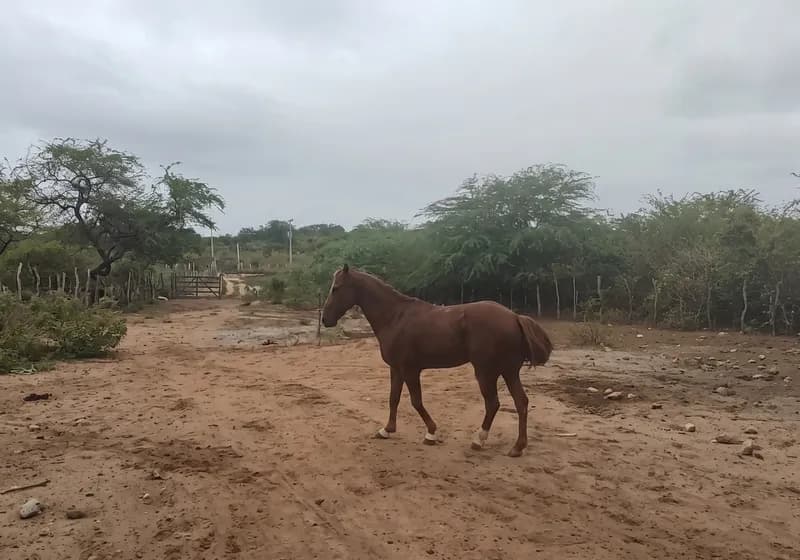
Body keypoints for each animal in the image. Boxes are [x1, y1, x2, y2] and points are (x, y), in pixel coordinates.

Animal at [321, 264, 553, 457]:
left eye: (336, 288)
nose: (325, 319)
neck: (395, 317)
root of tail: (514, 317)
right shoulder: (396, 369)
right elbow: (393, 398)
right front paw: (386, 430)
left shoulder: (410, 369)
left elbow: (416, 401)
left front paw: (431, 434)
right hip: (508, 371)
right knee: (521, 402)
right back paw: (517, 447)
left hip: (486, 371)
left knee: (493, 403)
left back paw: (478, 440)